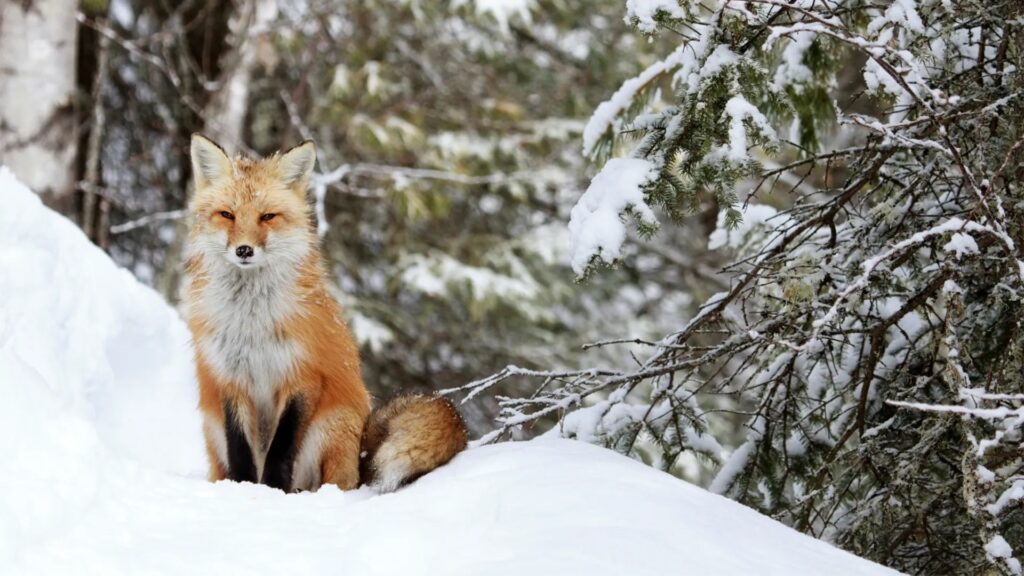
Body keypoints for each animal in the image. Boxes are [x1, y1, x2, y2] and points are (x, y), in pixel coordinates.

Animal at [185, 132, 468, 491]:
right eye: (227, 215)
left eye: (267, 217)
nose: (244, 250)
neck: (252, 323)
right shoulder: (230, 379)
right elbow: (240, 451)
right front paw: (245, 488)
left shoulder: (303, 375)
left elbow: (281, 448)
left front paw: (272, 490)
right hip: (211, 428)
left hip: (333, 425)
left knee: (336, 482)